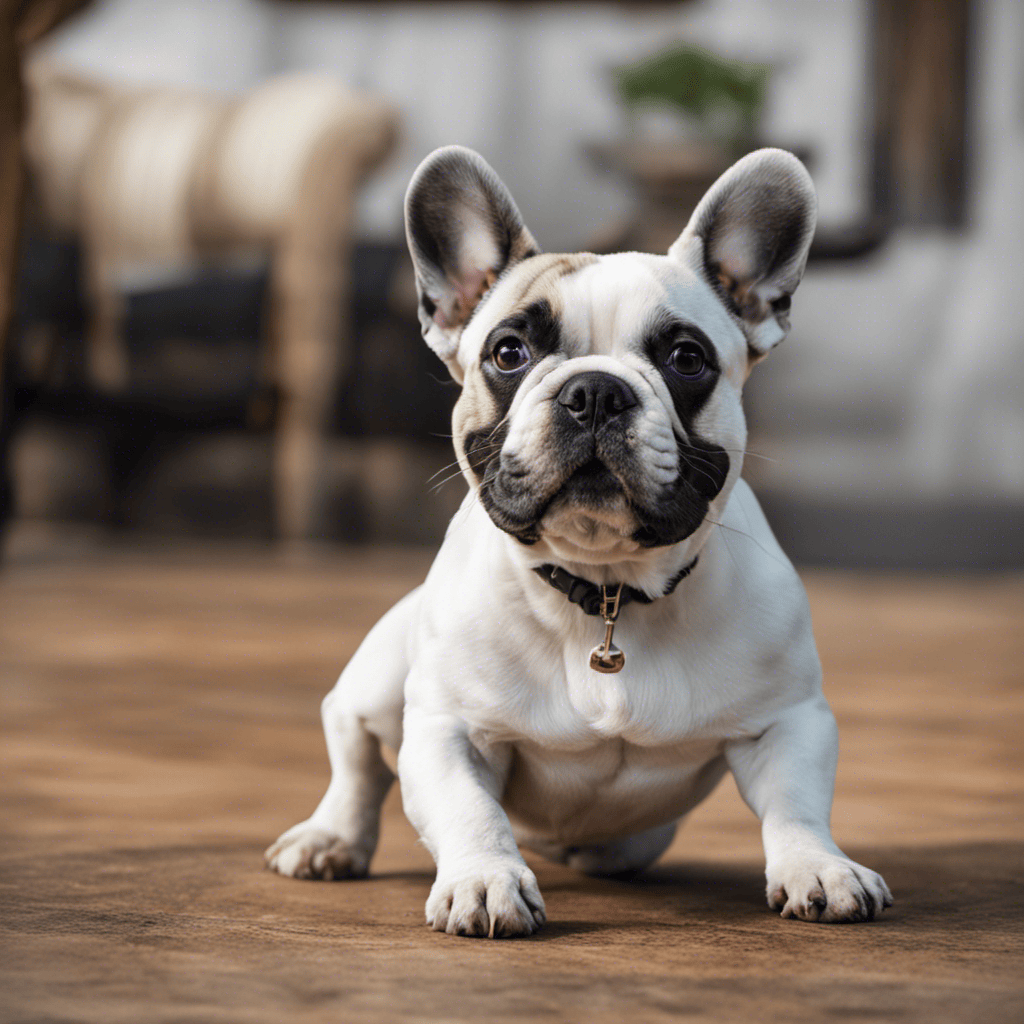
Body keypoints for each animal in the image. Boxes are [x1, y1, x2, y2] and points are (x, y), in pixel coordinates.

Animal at [268, 144, 892, 937]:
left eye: (687, 359)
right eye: (509, 352)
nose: (594, 390)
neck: (605, 589)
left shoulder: (789, 720)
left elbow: (796, 804)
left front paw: (820, 866)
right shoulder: (446, 729)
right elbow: (470, 809)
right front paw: (485, 880)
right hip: (378, 678)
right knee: (354, 753)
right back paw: (330, 839)